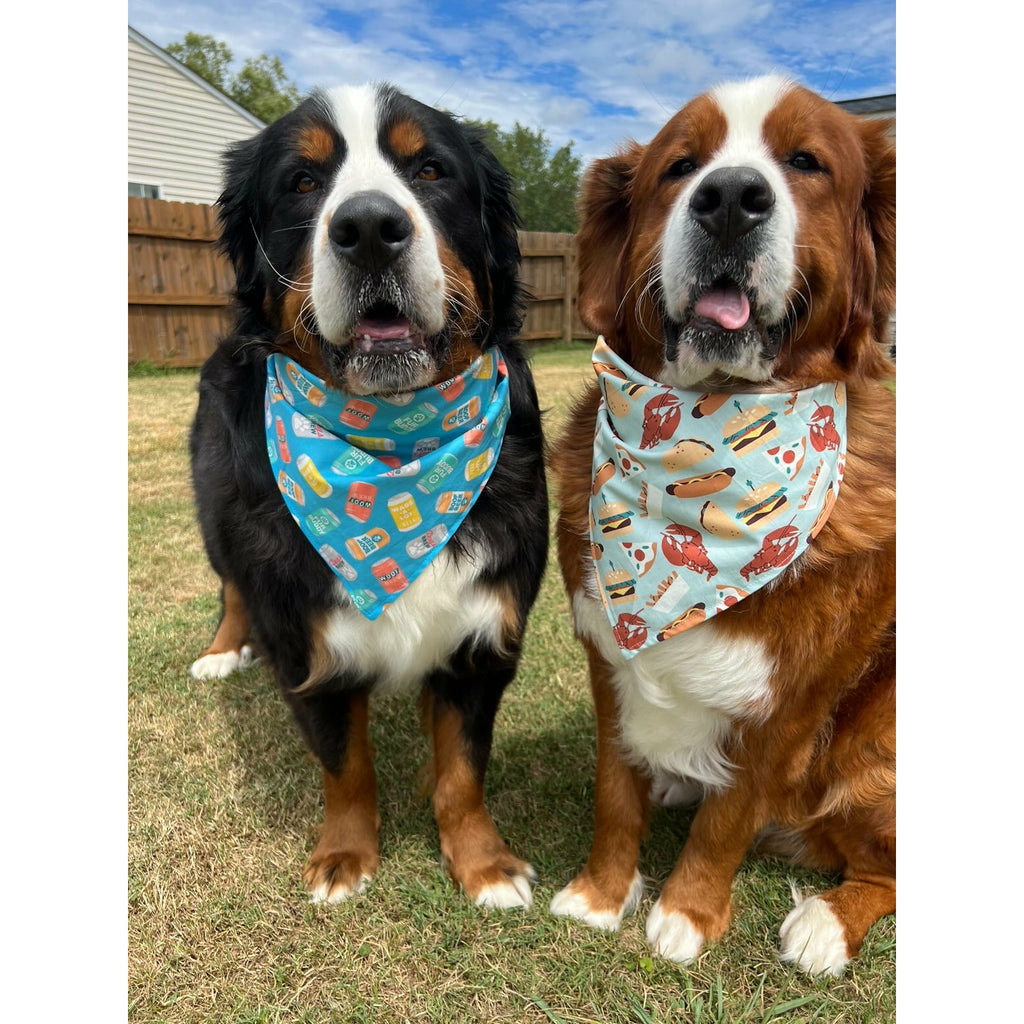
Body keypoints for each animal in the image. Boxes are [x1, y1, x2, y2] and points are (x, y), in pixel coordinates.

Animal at [188, 83, 548, 909]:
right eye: (302, 181)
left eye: (431, 169)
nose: (371, 231)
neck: (396, 448)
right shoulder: (303, 639)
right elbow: (344, 764)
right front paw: (345, 856)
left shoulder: (483, 635)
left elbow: (462, 769)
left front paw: (482, 862)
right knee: (230, 585)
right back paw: (222, 652)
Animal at [548, 74, 892, 974]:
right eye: (680, 166)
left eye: (807, 162)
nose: (731, 198)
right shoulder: (607, 661)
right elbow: (615, 792)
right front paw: (602, 894)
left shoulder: (793, 704)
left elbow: (728, 818)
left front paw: (688, 914)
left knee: (883, 864)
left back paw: (826, 922)